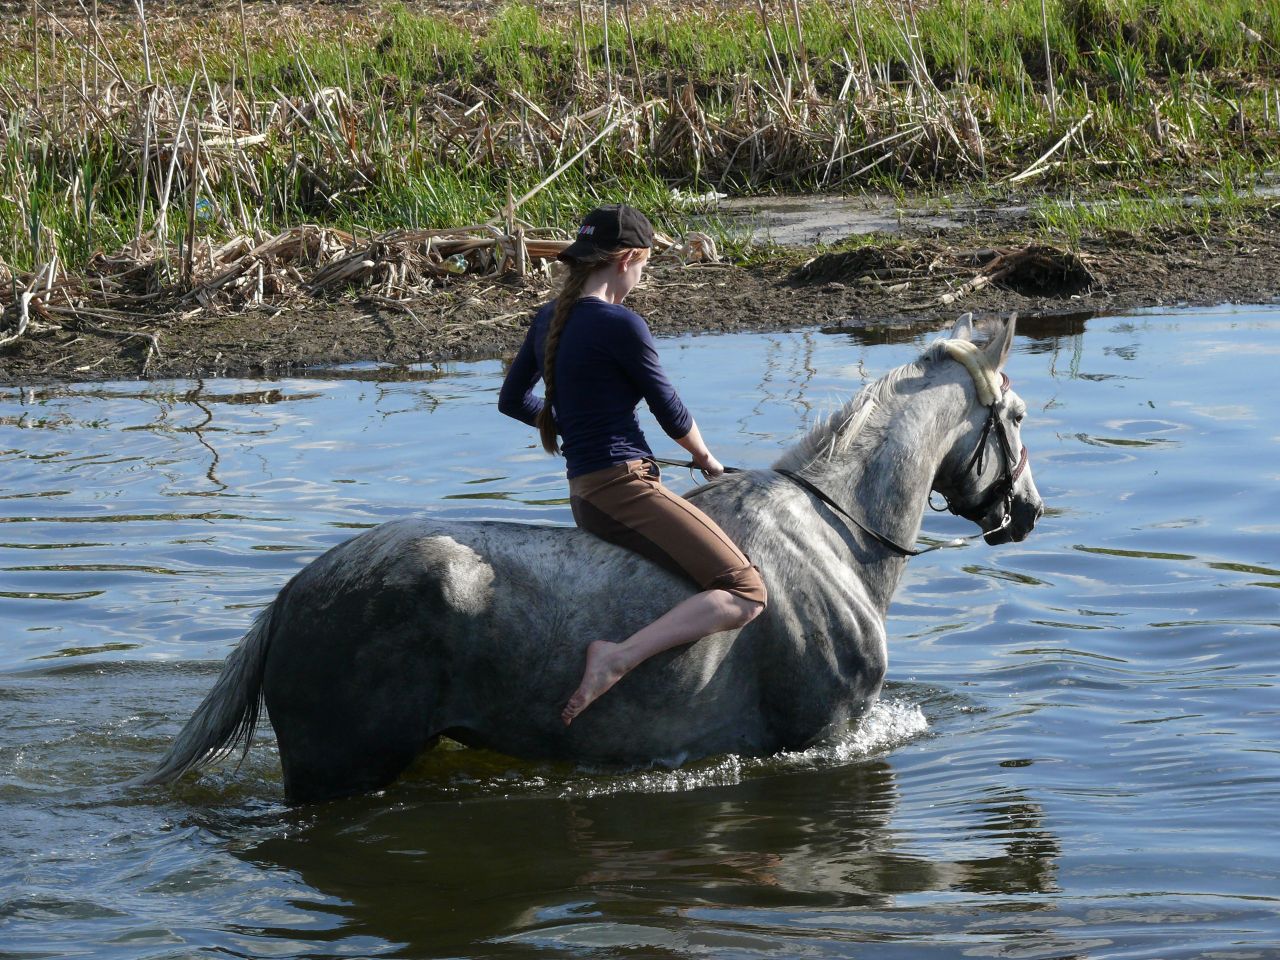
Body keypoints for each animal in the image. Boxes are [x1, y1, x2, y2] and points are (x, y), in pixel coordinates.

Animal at [142, 314, 1043, 803]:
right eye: (1020, 416)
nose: (1027, 513)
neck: (833, 535)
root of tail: (292, 594)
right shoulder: (818, 740)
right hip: (337, 774)